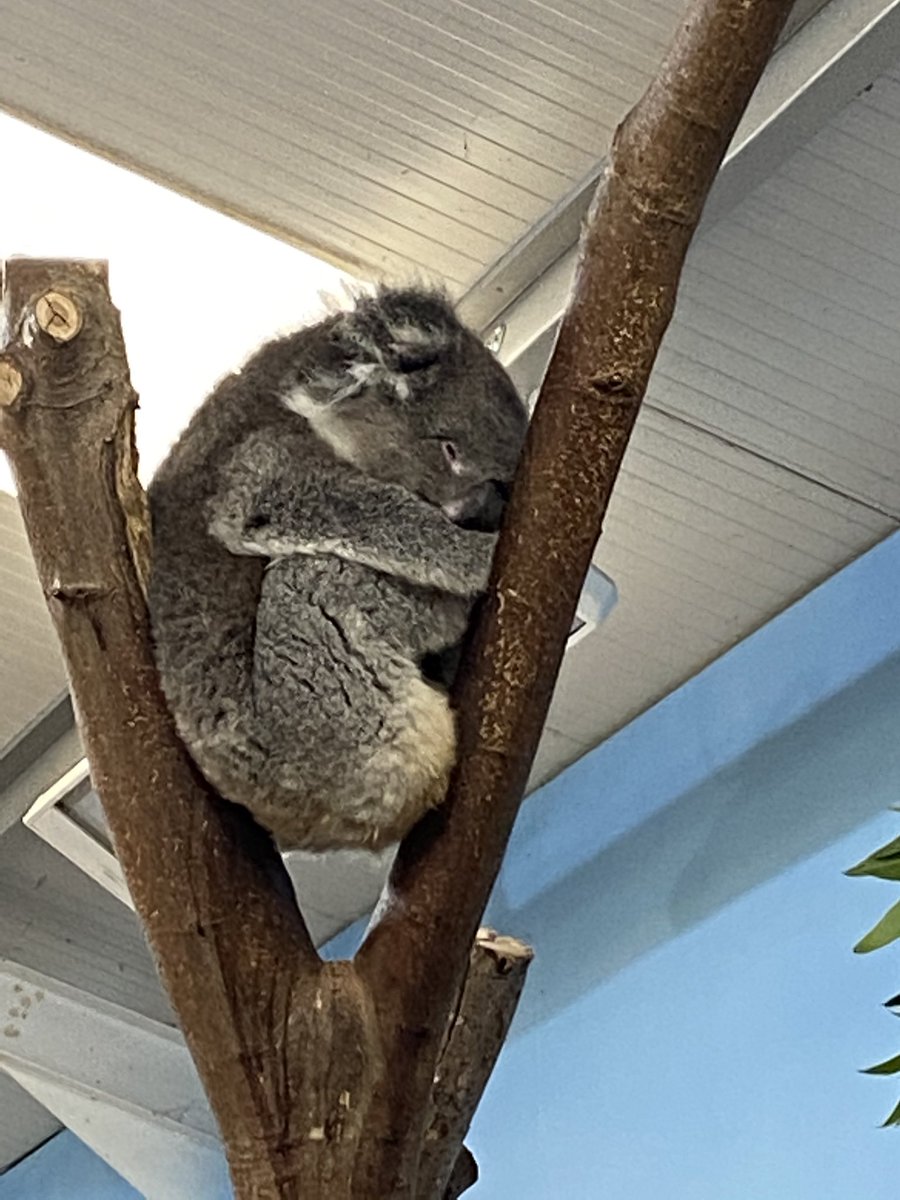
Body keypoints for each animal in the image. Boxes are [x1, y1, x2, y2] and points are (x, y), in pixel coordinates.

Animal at [147, 286, 527, 853]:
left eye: (502, 484)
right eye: (449, 450)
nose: (466, 513)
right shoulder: (257, 461)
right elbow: (364, 508)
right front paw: (478, 554)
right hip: (329, 716)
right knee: (315, 581)